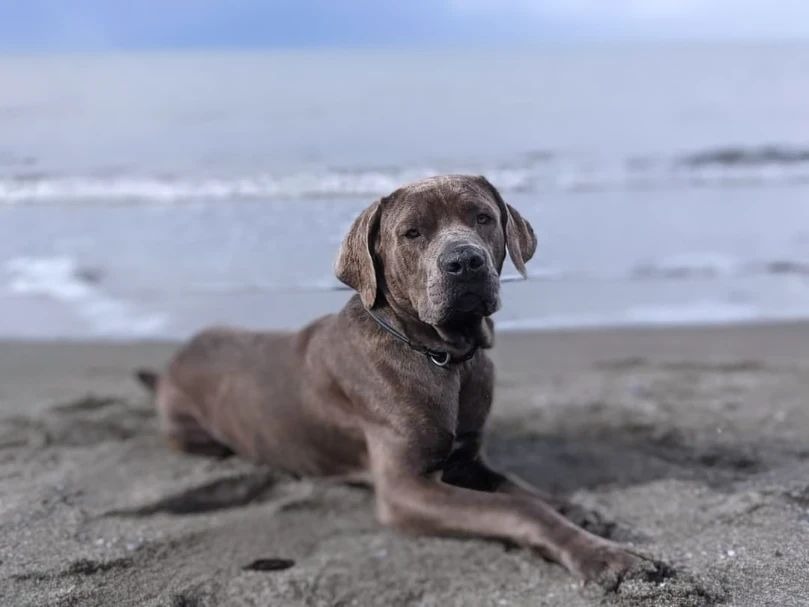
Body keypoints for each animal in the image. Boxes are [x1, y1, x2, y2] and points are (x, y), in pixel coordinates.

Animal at [136, 178, 648, 588]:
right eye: (412, 233)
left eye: (482, 217)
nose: (465, 261)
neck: (445, 357)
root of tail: (172, 362)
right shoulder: (405, 487)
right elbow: (518, 509)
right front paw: (601, 555)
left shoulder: (469, 460)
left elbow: (523, 489)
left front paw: (583, 513)